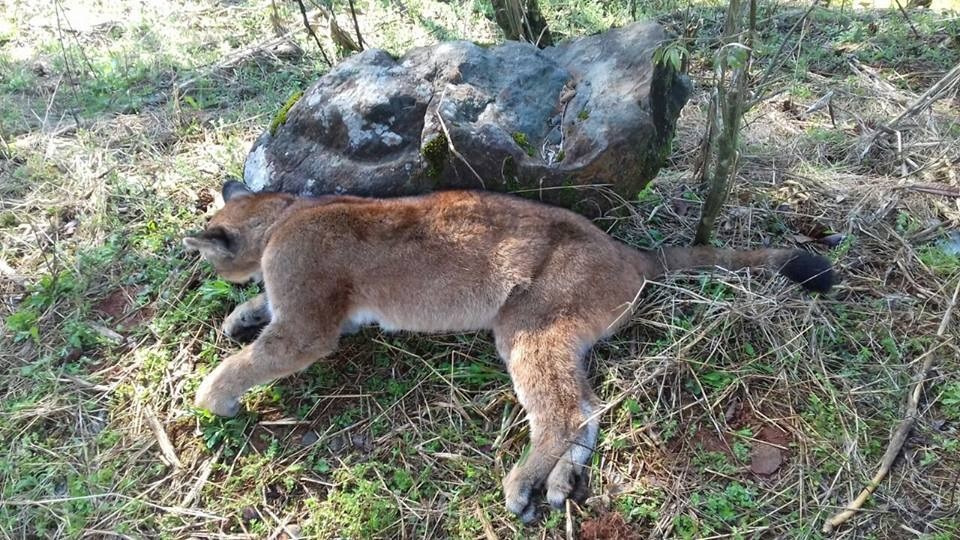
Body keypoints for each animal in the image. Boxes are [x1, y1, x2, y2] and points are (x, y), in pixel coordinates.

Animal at [182, 181, 832, 524]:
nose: (205, 270)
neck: (285, 212)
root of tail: (628, 251)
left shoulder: (309, 325)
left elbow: (257, 357)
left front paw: (212, 395)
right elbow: (262, 317)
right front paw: (241, 315)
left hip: (526, 327)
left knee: (563, 412)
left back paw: (523, 485)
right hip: (560, 338)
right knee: (586, 408)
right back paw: (562, 481)